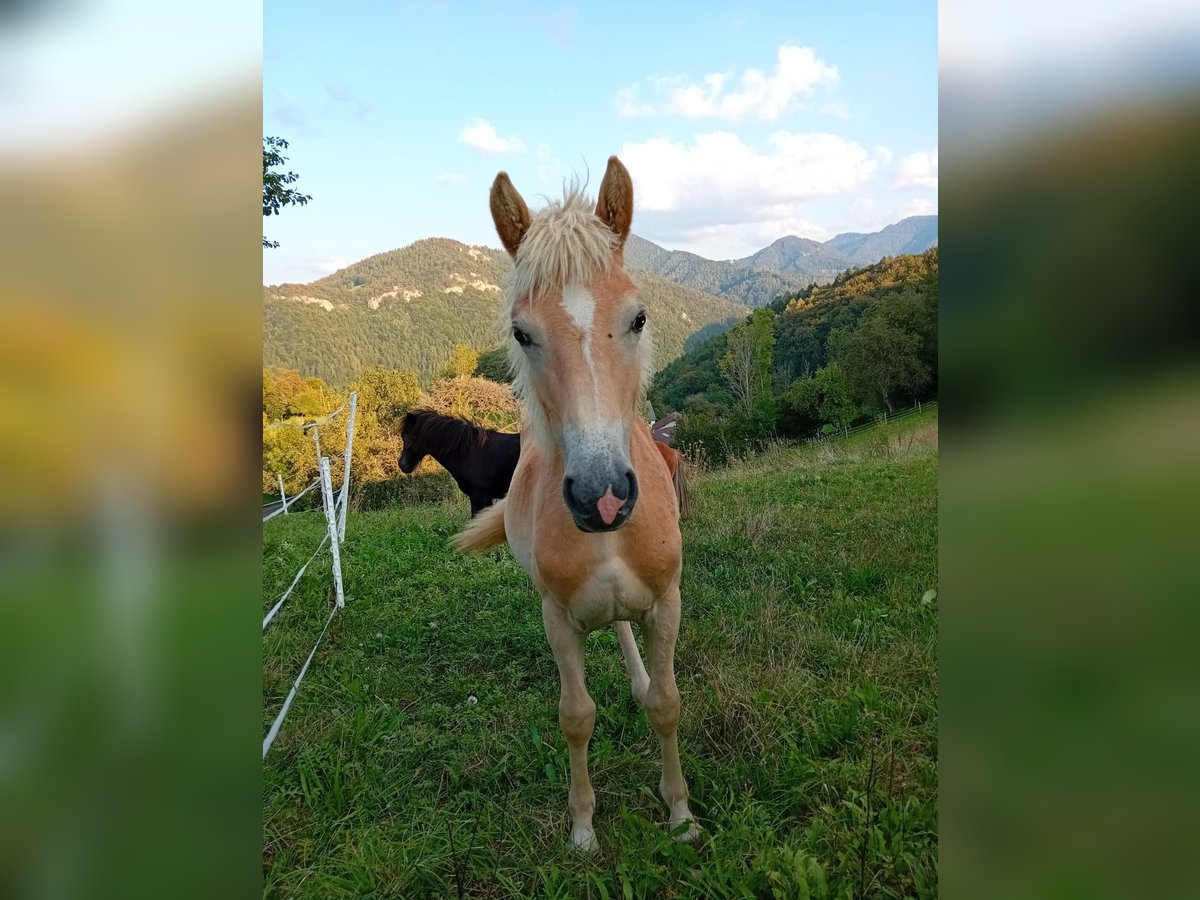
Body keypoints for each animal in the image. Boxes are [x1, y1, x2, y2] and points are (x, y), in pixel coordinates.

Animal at [451, 157, 700, 854]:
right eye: (521, 332)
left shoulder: (668, 603)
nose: (602, 496)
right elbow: (576, 717)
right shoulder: (558, 621)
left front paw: (680, 814)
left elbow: (668, 703)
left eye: (639, 318)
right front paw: (583, 826)